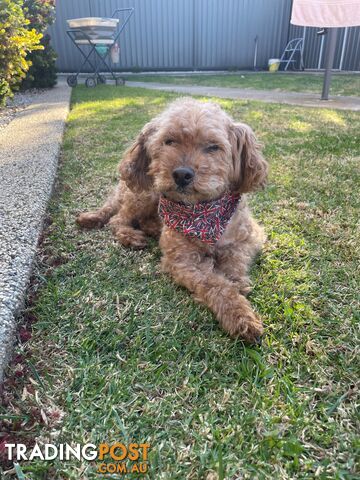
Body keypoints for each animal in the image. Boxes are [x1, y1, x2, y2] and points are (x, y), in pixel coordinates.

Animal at [76, 97, 268, 344]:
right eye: (169, 141)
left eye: (213, 147)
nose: (182, 174)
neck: (203, 214)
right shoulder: (181, 260)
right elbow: (214, 284)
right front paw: (239, 315)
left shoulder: (251, 236)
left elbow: (236, 258)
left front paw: (236, 280)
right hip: (144, 193)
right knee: (117, 219)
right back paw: (131, 236)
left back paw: (151, 228)